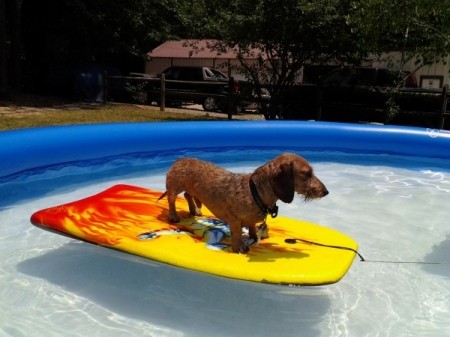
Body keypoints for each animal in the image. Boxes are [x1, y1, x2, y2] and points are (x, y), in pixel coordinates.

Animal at [160, 152, 328, 252]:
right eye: (307, 174)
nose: (326, 192)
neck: (255, 193)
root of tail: (180, 159)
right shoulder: (233, 218)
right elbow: (236, 231)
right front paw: (240, 246)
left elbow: (252, 227)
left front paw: (253, 237)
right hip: (174, 188)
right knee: (171, 200)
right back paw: (174, 216)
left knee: (188, 195)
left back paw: (195, 210)